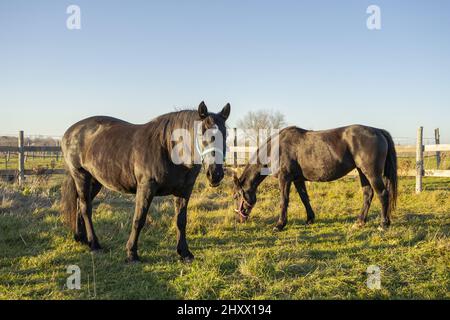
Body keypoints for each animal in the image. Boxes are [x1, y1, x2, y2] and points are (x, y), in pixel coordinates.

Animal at [61, 101, 230, 262]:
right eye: (201, 134)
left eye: (225, 135)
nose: (215, 174)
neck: (167, 148)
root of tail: (70, 132)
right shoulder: (146, 188)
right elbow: (139, 219)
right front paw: (131, 253)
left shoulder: (184, 190)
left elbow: (181, 221)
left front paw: (185, 253)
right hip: (81, 176)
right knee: (86, 208)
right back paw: (95, 245)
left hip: (95, 181)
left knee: (80, 205)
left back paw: (82, 239)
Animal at [234, 124, 400, 230]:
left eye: (236, 196)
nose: (239, 219)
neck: (276, 148)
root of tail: (378, 131)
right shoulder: (298, 180)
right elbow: (304, 198)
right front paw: (310, 219)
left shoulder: (285, 179)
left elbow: (284, 201)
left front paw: (280, 224)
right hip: (362, 172)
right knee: (368, 194)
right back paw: (359, 223)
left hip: (371, 173)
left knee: (383, 194)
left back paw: (383, 224)